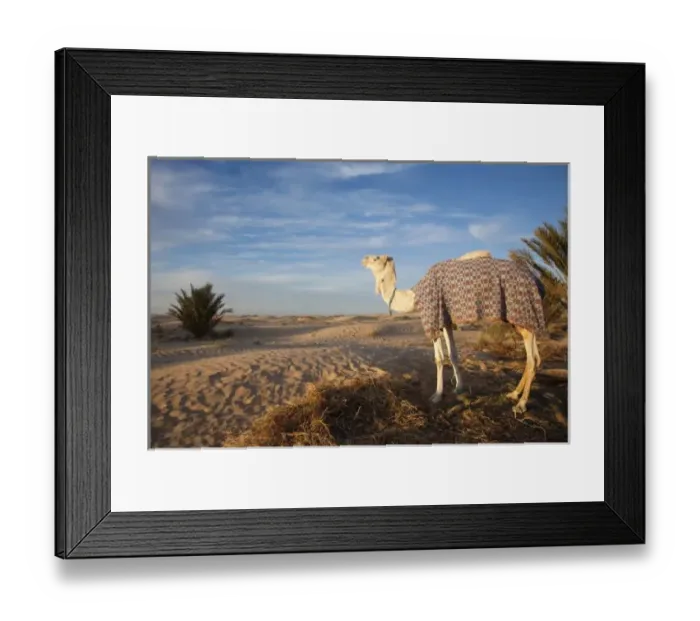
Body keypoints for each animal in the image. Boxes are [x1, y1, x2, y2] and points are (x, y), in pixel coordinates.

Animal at [361, 252, 545, 415]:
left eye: (376, 257)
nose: (363, 259)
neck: (415, 296)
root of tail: (536, 280)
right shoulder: (446, 321)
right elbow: (453, 354)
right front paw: (459, 387)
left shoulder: (434, 318)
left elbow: (439, 358)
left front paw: (437, 395)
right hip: (520, 321)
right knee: (536, 357)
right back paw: (513, 394)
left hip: (523, 312)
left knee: (532, 360)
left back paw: (521, 405)